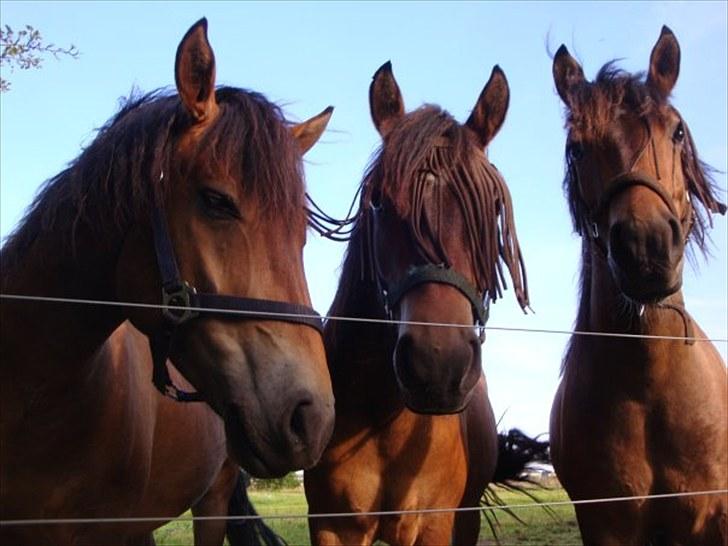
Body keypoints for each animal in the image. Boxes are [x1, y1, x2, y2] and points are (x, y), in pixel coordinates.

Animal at [302, 61, 540, 540]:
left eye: (493, 208)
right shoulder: (332, 525)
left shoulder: (433, 524)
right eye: (378, 201)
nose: (437, 364)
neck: (383, 422)